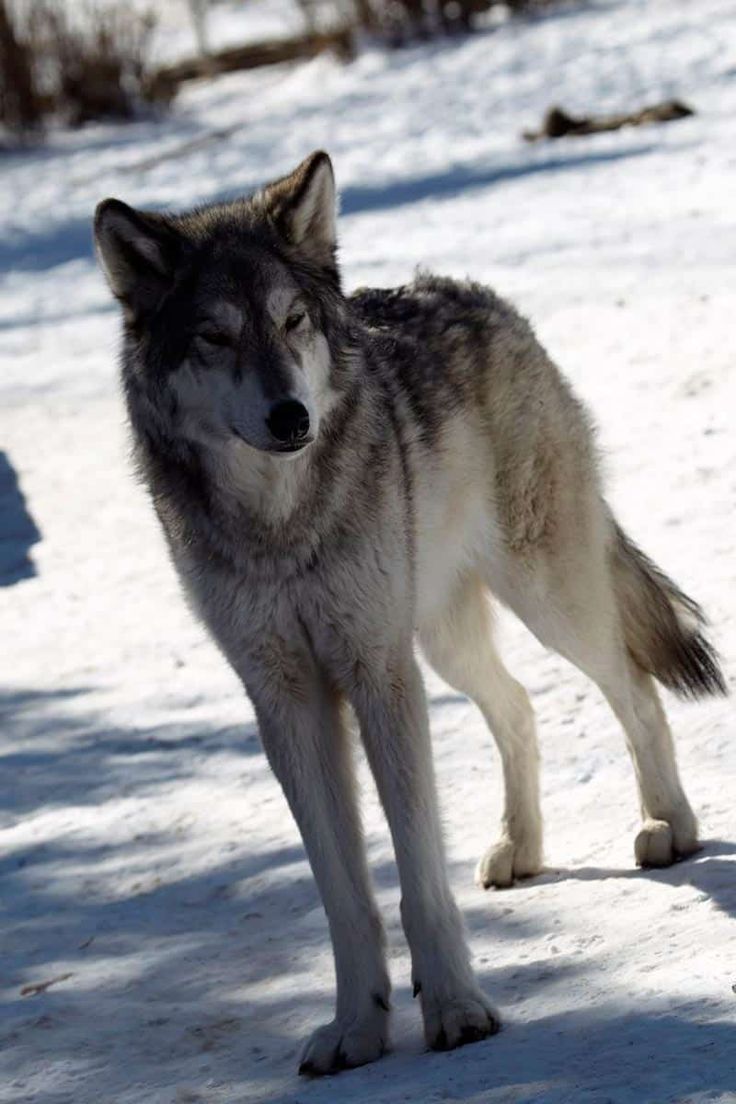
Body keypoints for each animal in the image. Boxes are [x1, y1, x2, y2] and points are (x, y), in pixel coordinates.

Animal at [92, 151, 723, 1073]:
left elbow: (418, 867)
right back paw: (521, 850)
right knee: (521, 708)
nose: (292, 416)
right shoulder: (286, 698)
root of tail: (474, 294)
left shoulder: (376, 671)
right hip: (441, 640)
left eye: (291, 322)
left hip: (543, 602)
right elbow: (342, 891)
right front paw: (355, 1026)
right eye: (214, 336)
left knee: (634, 690)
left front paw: (456, 1008)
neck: (281, 527)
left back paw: (666, 826)